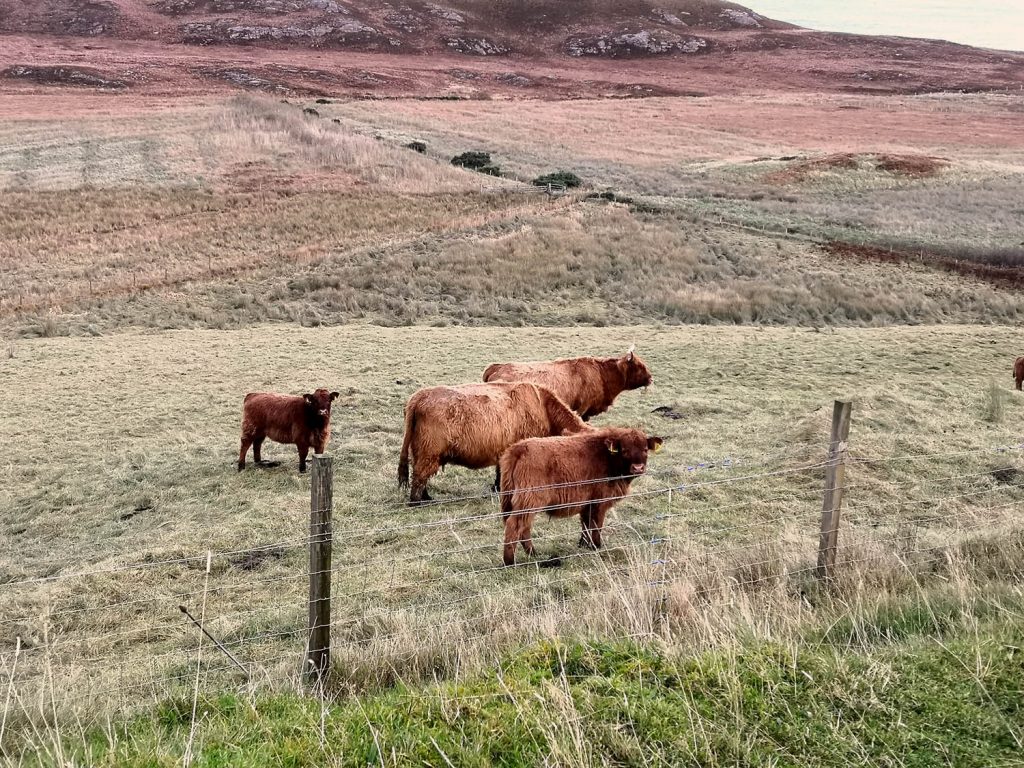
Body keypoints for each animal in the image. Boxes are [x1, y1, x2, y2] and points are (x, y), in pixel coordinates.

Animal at [401, 382, 593, 505]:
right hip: (429, 452)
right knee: (419, 475)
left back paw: (426, 497)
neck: (543, 408)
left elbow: (500, 472)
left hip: (421, 451)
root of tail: (419, 396)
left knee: (420, 474)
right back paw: (418, 502)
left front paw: (497, 488)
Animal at [501, 430, 667, 569]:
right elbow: (596, 525)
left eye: (645, 449)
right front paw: (597, 546)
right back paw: (510, 561)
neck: (607, 457)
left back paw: (534, 554)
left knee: (524, 527)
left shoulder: (586, 503)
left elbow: (586, 525)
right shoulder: (599, 503)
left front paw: (584, 545)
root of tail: (519, 448)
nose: (638, 468)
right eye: (625, 450)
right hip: (529, 501)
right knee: (515, 525)